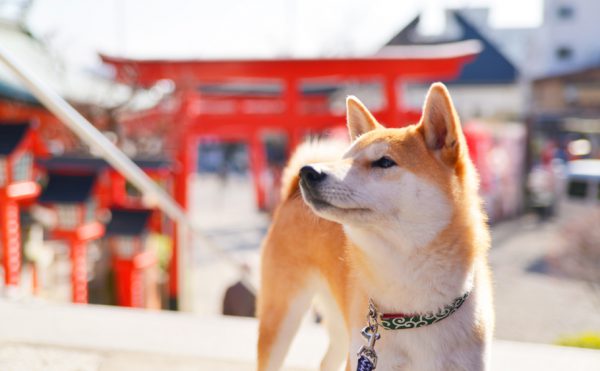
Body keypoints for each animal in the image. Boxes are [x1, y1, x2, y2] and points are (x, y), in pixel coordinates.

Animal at [256, 83, 492, 371]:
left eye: (384, 162)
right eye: (345, 158)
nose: (308, 172)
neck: (414, 313)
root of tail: (291, 195)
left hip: (341, 327)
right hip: (281, 319)